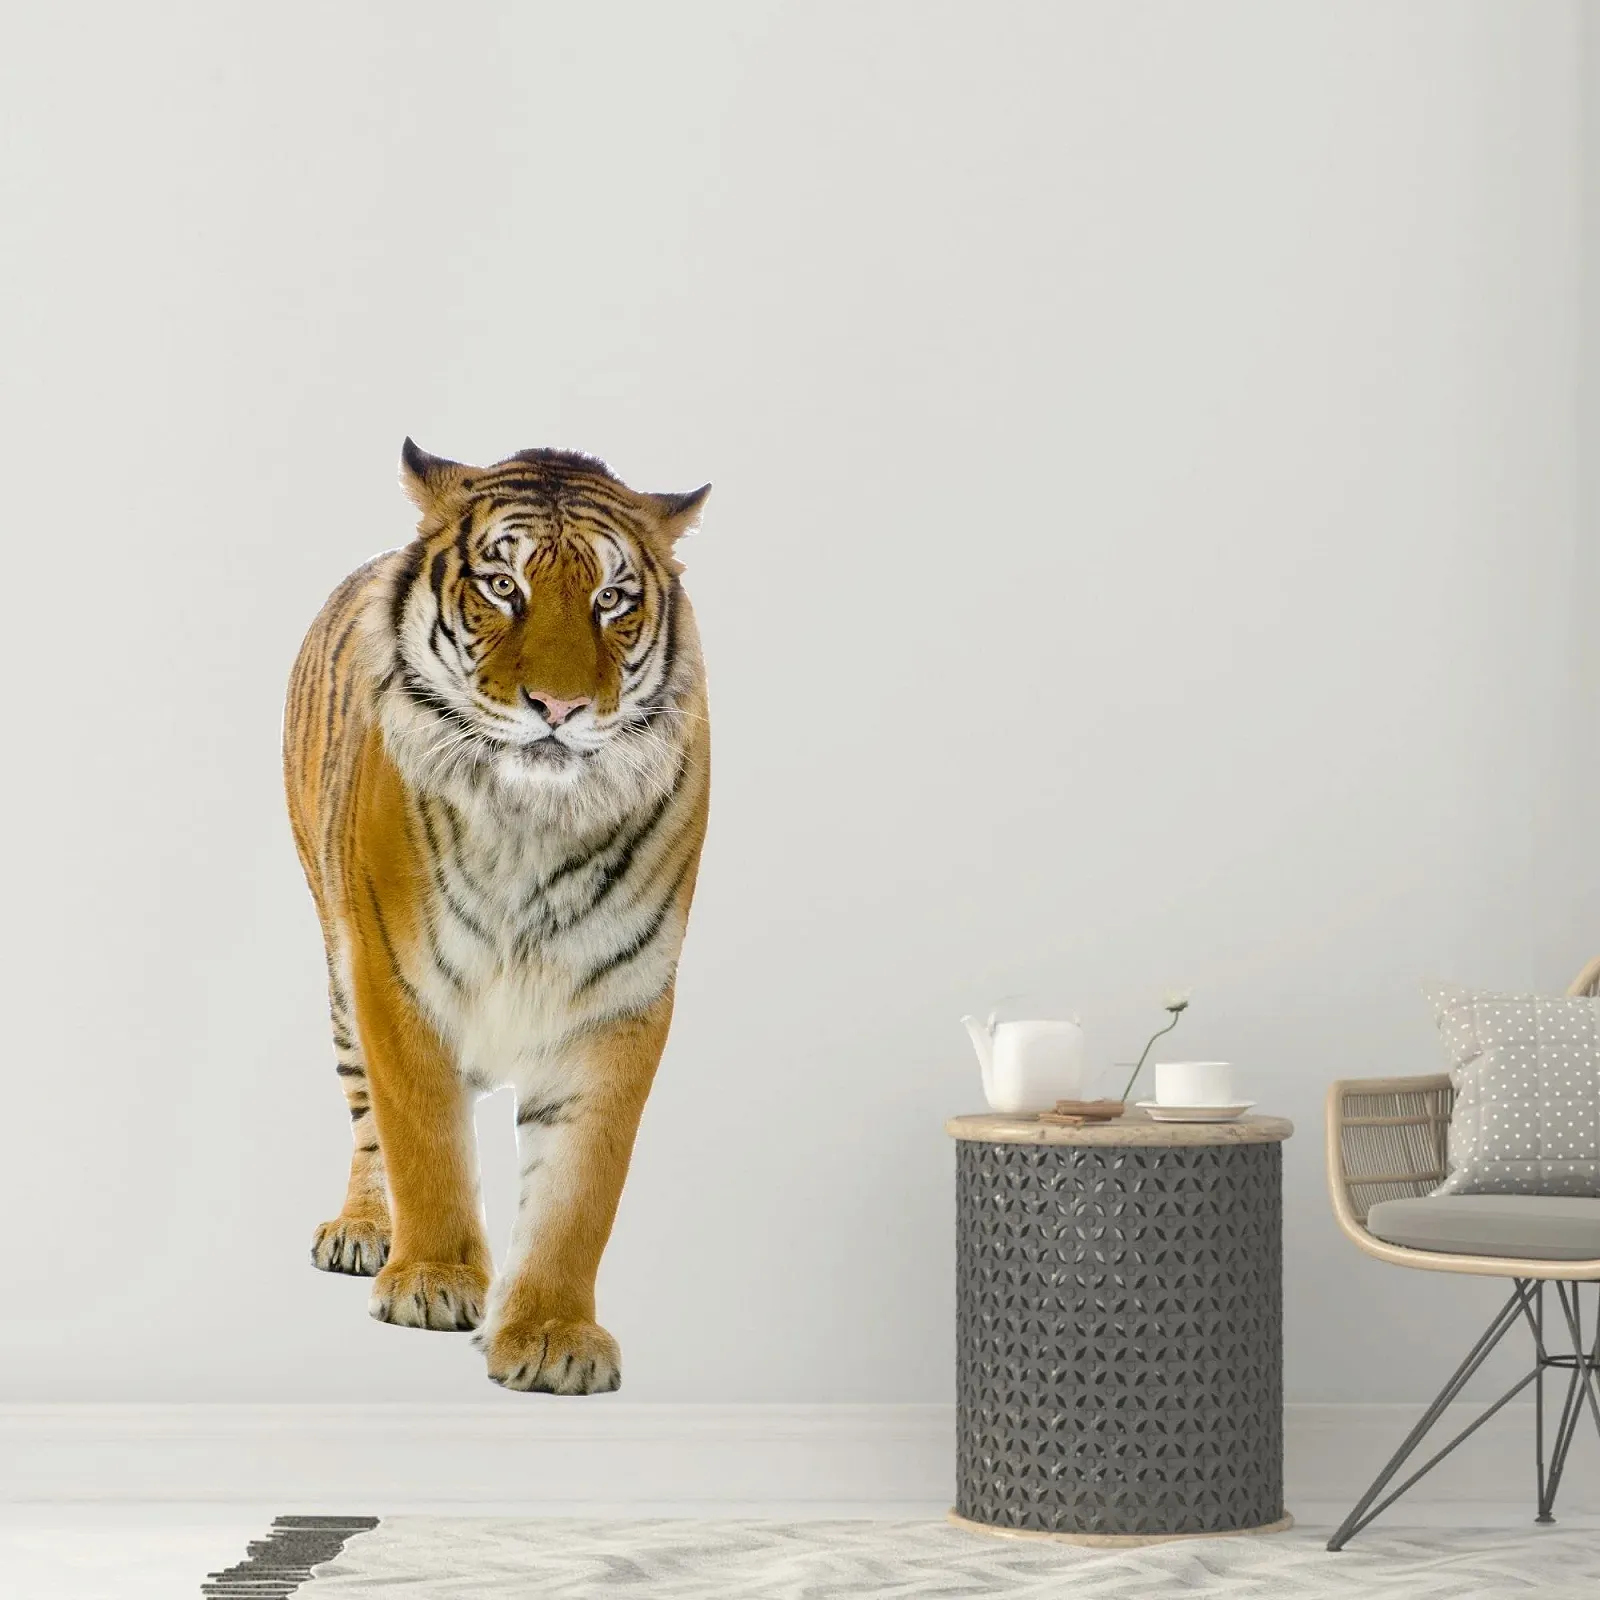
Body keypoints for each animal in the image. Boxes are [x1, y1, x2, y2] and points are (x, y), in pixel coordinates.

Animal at [283, 440, 711, 1396]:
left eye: (611, 599)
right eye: (503, 586)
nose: (558, 708)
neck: (531, 822)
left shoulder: (619, 1001)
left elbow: (579, 1191)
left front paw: (553, 1333)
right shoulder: (395, 978)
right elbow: (424, 1142)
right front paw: (433, 1280)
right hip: (336, 963)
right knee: (366, 1118)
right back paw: (366, 1230)